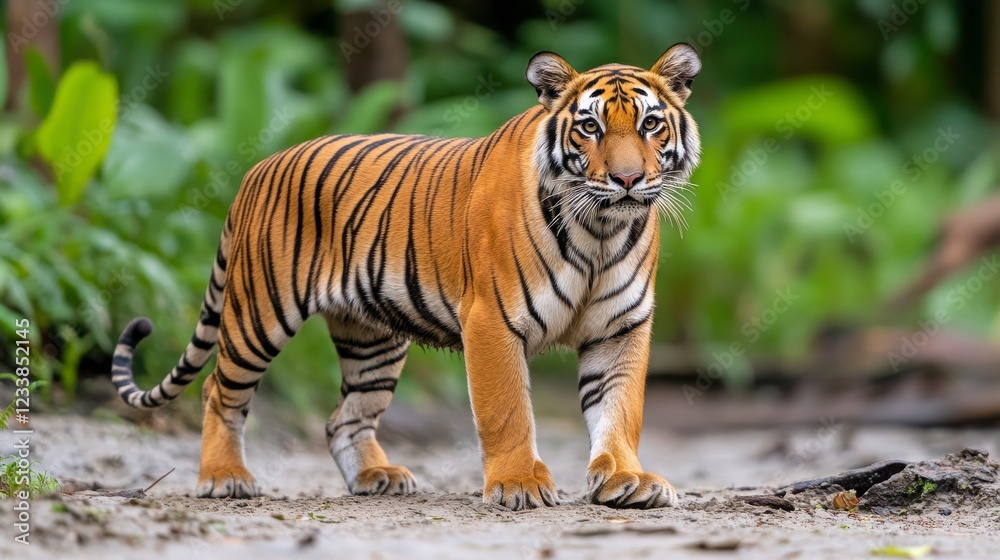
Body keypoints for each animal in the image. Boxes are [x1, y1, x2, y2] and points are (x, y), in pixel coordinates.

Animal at [110, 43, 702, 510]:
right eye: (589, 127)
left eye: (650, 124)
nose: (627, 179)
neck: (601, 229)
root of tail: (257, 169)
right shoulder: (491, 321)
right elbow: (508, 409)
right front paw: (519, 485)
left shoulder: (621, 328)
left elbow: (619, 410)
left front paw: (627, 479)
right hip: (259, 312)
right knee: (219, 390)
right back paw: (224, 477)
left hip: (372, 340)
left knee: (344, 417)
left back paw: (377, 477)